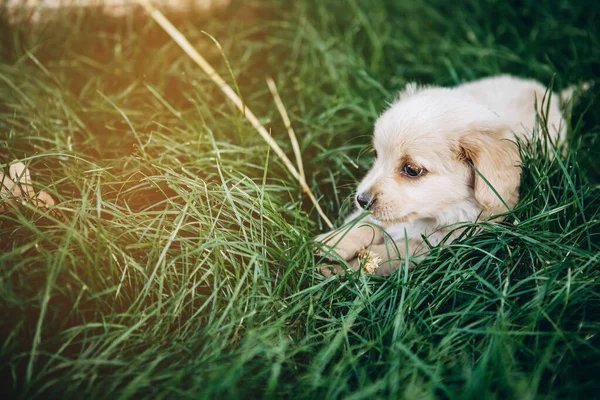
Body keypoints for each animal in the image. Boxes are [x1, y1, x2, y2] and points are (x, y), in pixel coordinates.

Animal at [316, 74, 580, 276]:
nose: (361, 199)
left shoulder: (442, 244)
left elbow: (391, 252)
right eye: (377, 155)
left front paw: (346, 267)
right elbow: (364, 222)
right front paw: (334, 241)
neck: (436, 214)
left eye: (412, 170)